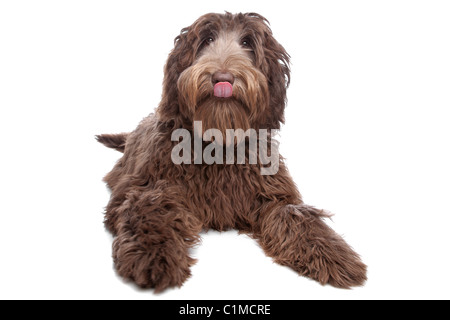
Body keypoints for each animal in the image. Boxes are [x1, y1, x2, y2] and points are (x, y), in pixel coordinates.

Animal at [97, 11, 366, 292]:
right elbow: (150, 205)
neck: (219, 143)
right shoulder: (146, 183)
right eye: (207, 39)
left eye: (247, 42)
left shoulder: (272, 193)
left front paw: (332, 253)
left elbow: (295, 215)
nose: (222, 78)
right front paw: (154, 255)